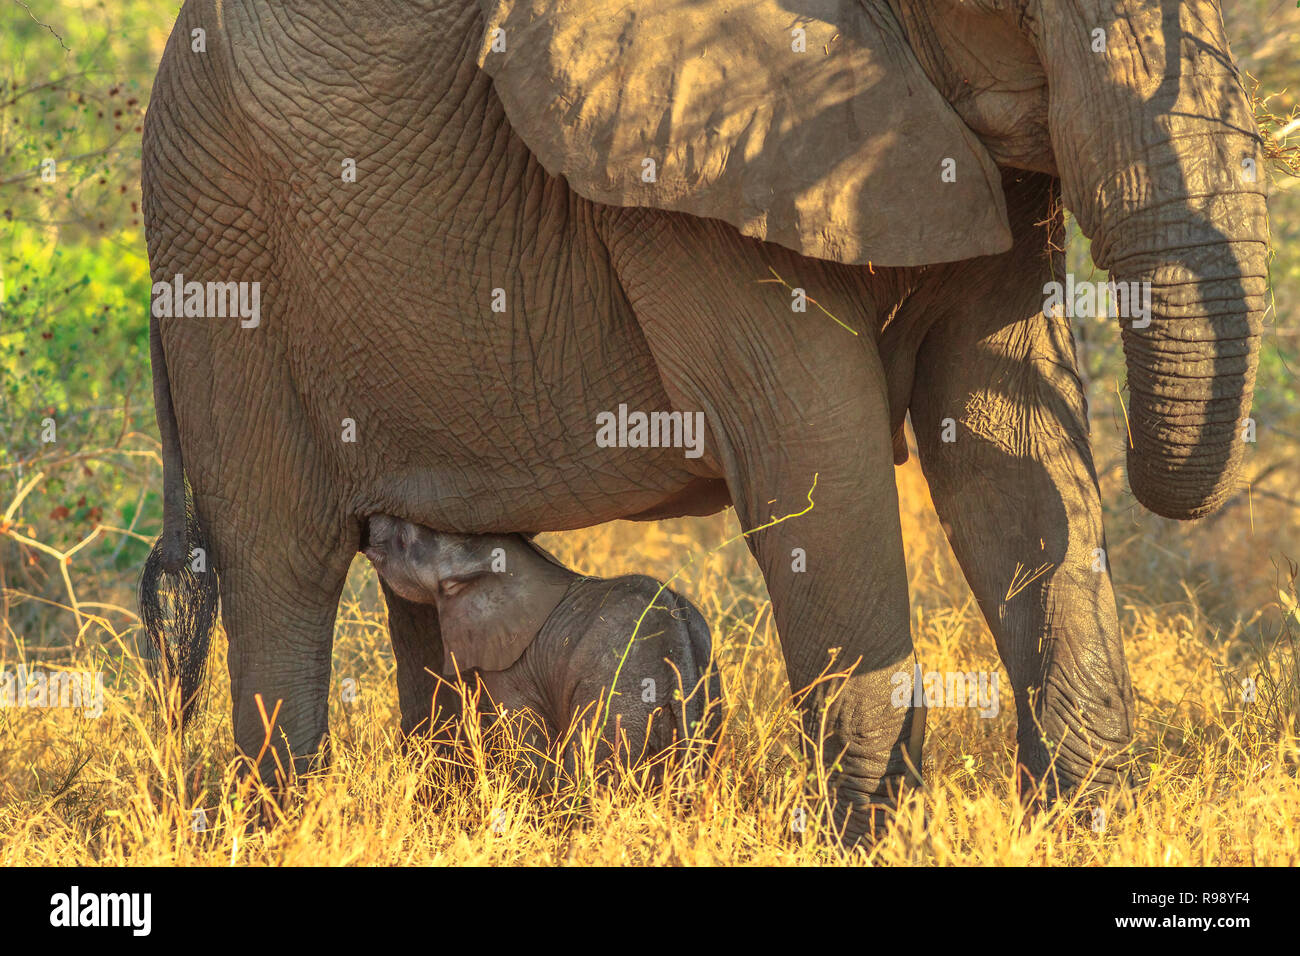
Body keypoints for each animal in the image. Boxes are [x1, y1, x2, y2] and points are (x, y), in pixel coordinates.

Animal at [362, 516, 722, 779]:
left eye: (403, 540)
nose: (370, 521)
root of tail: (678, 652)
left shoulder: (511, 669)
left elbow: (527, 741)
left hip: (624, 697)